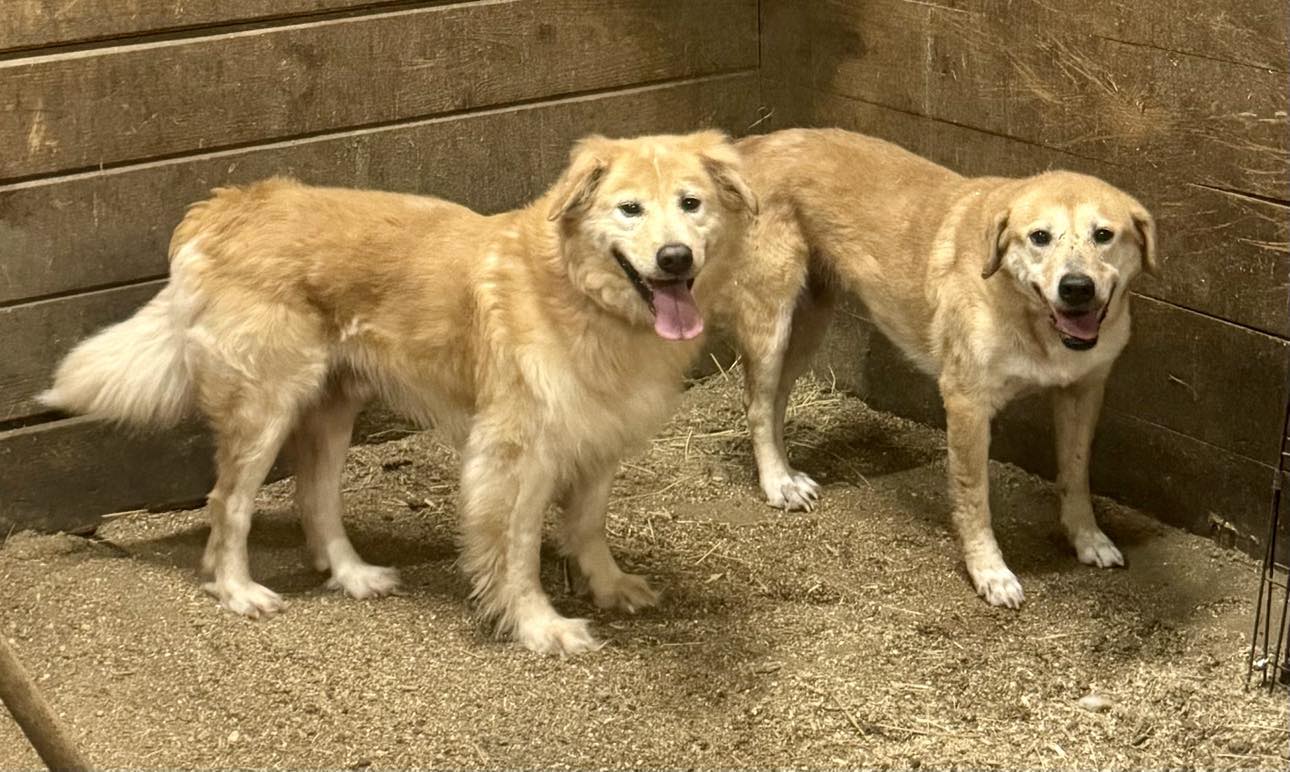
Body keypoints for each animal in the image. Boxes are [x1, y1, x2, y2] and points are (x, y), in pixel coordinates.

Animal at [42, 131, 753, 653]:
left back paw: (352, 575)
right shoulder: (514, 455)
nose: (675, 258)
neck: (579, 295)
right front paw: (537, 625)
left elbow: (587, 526)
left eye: (691, 204)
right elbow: (518, 550)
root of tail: (226, 204)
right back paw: (237, 590)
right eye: (629, 209)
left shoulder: (599, 435)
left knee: (315, 497)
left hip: (330, 409)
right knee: (229, 504)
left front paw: (606, 586)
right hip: (264, 408)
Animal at [717, 128, 1161, 611]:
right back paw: (776, 483)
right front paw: (989, 571)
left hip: (809, 322)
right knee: (757, 405)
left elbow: (1076, 473)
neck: (1029, 317)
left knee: (773, 399)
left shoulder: (1084, 392)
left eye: (1104, 235)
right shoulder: (966, 402)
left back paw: (786, 472)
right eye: (1039, 237)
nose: (1076, 288)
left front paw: (1087, 538)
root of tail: (754, 145)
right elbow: (974, 496)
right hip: (772, 319)